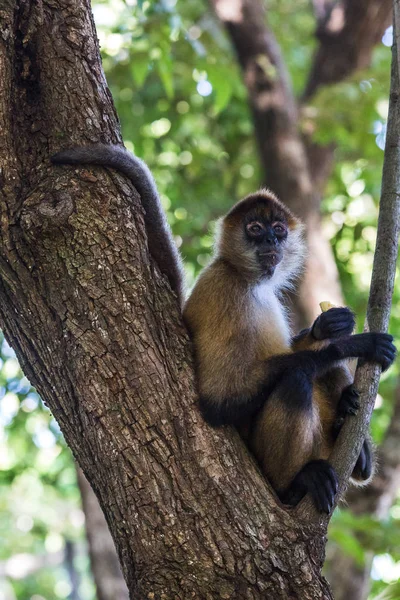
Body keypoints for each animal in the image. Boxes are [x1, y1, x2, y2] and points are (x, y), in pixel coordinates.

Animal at [51, 146, 396, 516]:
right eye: (256, 229)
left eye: (278, 229)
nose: (271, 239)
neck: (246, 277)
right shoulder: (225, 291)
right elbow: (218, 404)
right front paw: (351, 345)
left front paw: (327, 326)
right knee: (297, 380)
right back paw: (296, 484)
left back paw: (355, 447)